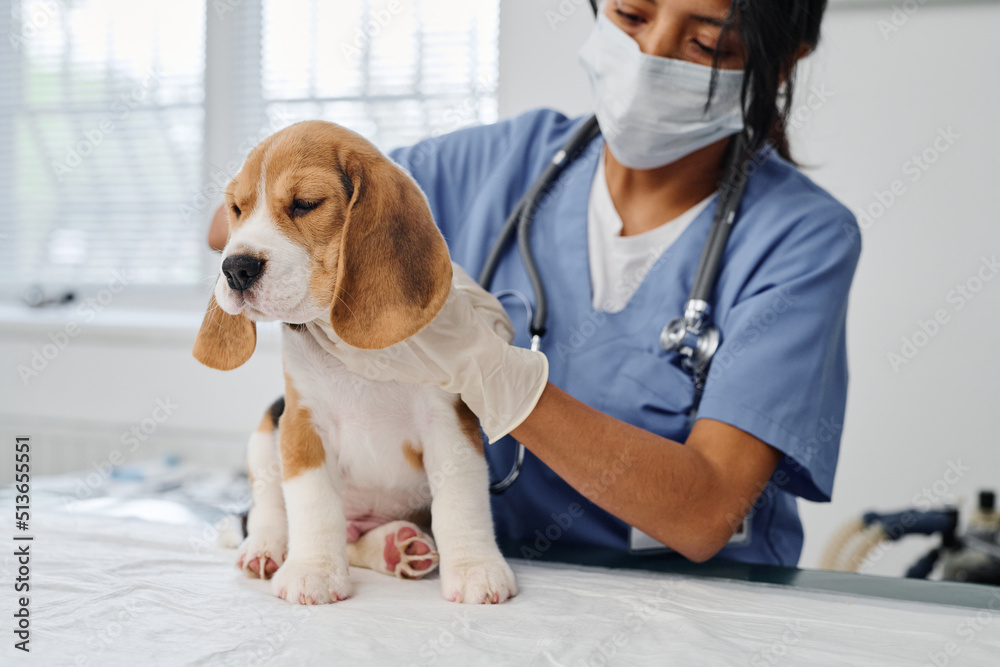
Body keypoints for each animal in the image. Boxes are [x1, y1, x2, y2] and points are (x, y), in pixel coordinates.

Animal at [198, 120, 520, 604]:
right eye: (236, 209)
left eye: (305, 204)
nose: (235, 268)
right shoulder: (301, 424)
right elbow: (313, 503)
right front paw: (312, 570)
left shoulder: (449, 422)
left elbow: (459, 499)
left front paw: (475, 569)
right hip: (267, 428)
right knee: (268, 507)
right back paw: (268, 549)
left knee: (354, 539)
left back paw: (397, 547)